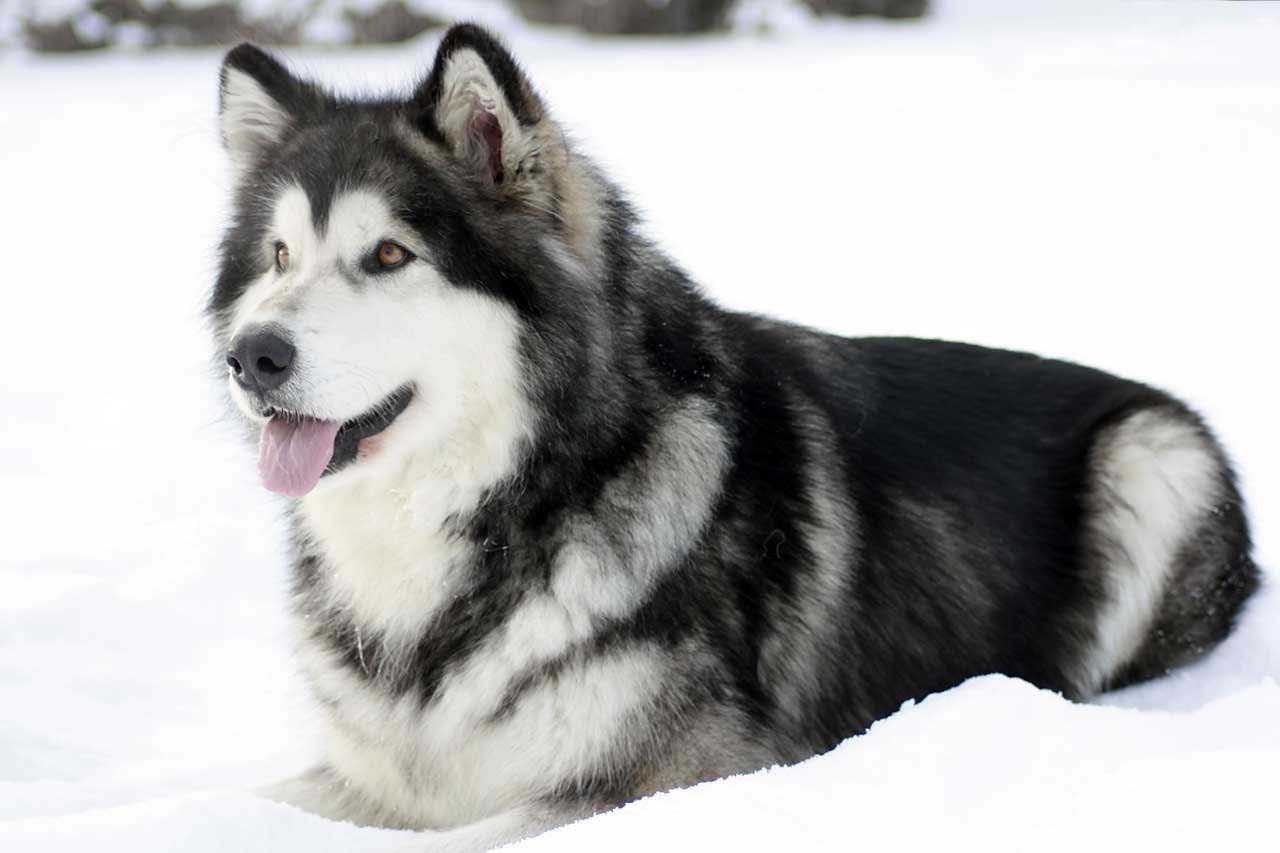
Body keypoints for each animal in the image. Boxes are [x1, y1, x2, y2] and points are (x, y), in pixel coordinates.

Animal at [207, 23, 1259, 845]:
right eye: (280, 256)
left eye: (389, 254)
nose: (250, 356)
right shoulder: (380, 774)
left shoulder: (683, 769)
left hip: (1152, 457)